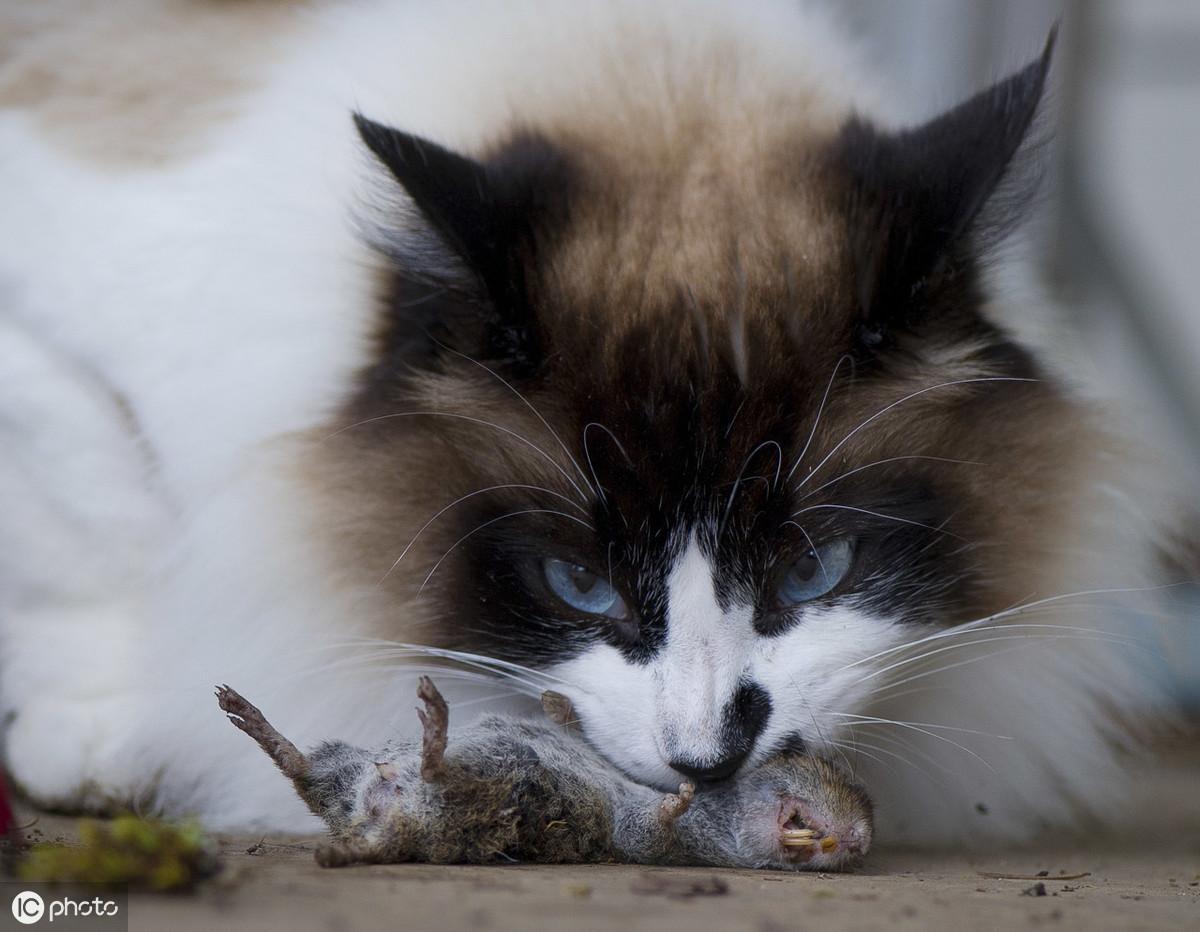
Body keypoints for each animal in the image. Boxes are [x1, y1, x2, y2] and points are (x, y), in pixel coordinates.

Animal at [0, 1, 1180, 844]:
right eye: (578, 583)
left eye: (815, 571)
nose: (706, 759)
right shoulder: (46, 341)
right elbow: (101, 528)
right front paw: (108, 736)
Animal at [216, 676, 873, 863]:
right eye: (815, 765)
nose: (863, 839)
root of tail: (382, 829)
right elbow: (575, 728)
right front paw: (558, 702)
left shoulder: (650, 842)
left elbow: (650, 830)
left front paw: (676, 799)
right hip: (354, 767)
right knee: (306, 770)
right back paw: (255, 719)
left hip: (492, 790)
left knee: (439, 774)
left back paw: (435, 731)